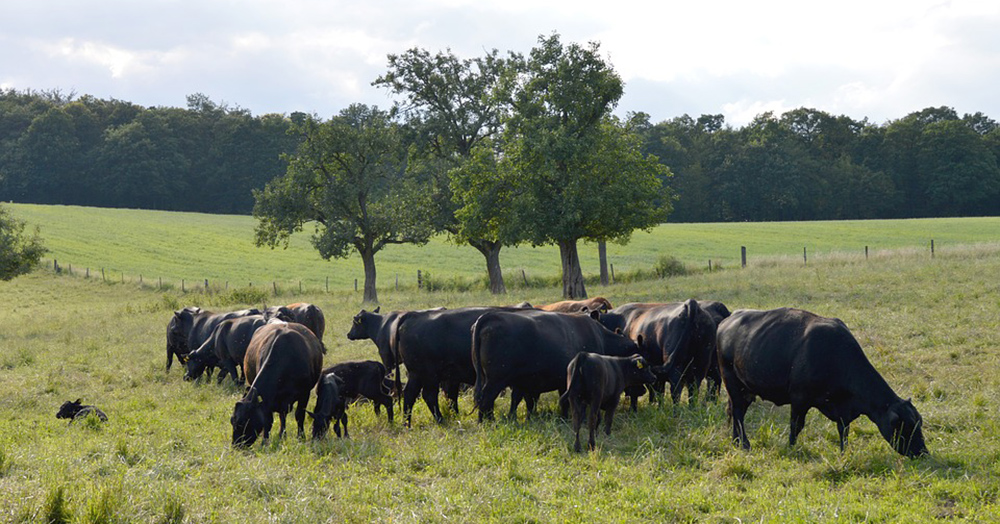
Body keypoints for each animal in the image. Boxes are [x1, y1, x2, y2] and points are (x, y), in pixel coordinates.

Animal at [470, 310, 640, 424]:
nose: (641, 390)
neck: (601, 337)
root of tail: (490, 316)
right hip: (495, 380)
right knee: (485, 399)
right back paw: (487, 422)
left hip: (490, 378)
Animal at [716, 310, 924, 456]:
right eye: (905, 426)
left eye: (918, 423)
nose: (923, 452)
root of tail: (728, 319)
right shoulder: (799, 399)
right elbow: (796, 426)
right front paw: (791, 448)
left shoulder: (842, 411)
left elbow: (843, 430)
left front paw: (844, 453)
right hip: (733, 384)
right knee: (738, 413)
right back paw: (744, 444)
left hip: (744, 390)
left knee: (735, 413)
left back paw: (736, 442)